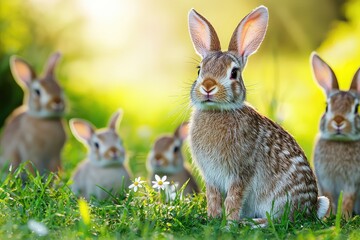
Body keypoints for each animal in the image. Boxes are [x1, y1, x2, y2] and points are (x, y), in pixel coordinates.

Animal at [186, 5, 330, 225]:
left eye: (234, 73)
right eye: (199, 70)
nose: (208, 86)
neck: (217, 111)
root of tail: (311, 208)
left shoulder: (241, 172)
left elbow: (234, 198)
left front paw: (229, 223)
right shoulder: (211, 177)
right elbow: (213, 197)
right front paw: (212, 218)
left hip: (279, 200)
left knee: (279, 219)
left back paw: (253, 223)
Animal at [310, 52, 358, 219]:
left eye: (356, 108)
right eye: (327, 107)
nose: (338, 121)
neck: (339, 141)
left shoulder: (352, 182)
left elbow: (349, 198)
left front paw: (345, 216)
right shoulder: (325, 180)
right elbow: (329, 197)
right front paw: (328, 217)